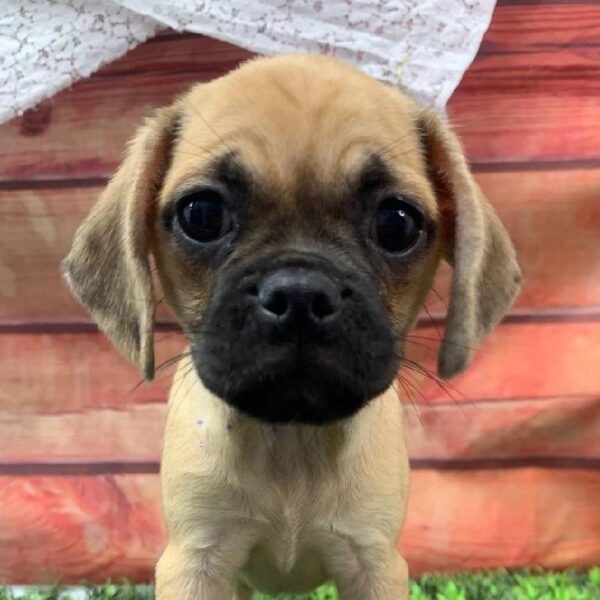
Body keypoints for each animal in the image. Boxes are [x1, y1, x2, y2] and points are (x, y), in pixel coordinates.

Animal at [62, 54, 520, 596]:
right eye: (202, 214)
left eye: (397, 223)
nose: (300, 295)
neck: (293, 443)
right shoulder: (196, 561)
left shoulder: (374, 562)